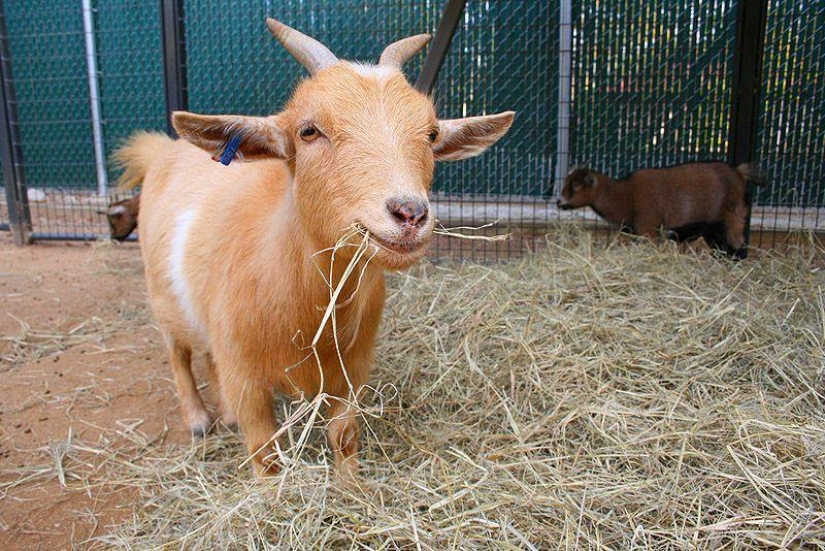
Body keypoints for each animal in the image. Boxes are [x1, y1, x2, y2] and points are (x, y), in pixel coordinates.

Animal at [115, 19, 514, 479]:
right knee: (177, 352)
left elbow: (344, 436)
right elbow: (265, 453)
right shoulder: (247, 378)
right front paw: (270, 491)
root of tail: (164, 150)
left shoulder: (350, 370)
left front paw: (353, 487)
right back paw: (198, 418)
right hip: (161, 295)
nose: (409, 213)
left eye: (431, 133)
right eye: (308, 131)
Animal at [556, 162, 763, 258]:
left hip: (733, 216)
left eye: (575, 185)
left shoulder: (648, 229)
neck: (625, 194)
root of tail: (739, 173)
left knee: (737, 242)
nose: (559, 202)